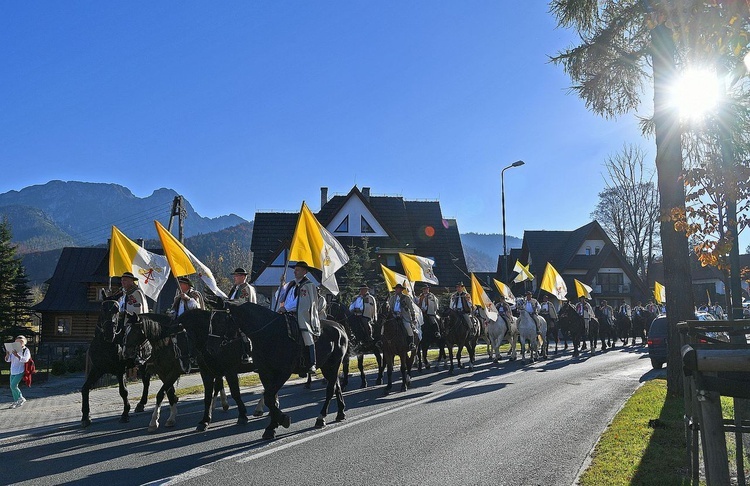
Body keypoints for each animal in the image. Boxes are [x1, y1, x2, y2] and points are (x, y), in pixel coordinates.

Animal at [81, 300, 155, 430]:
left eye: (117, 309)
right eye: (103, 308)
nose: (109, 332)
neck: (105, 345)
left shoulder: (120, 370)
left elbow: (123, 391)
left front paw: (125, 414)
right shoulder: (97, 369)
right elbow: (85, 388)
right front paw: (86, 417)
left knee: (147, 381)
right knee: (146, 381)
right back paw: (141, 404)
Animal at [226, 302, 350, 438]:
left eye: (221, 317)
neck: (268, 334)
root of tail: (339, 326)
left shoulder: (283, 373)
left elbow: (269, 397)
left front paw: (282, 419)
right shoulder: (265, 373)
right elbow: (271, 398)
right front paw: (271, 427)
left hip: (334, 364)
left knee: (330, 390)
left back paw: (321, 418)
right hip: (327, 367)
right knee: (337, 386)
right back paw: (340, 413)